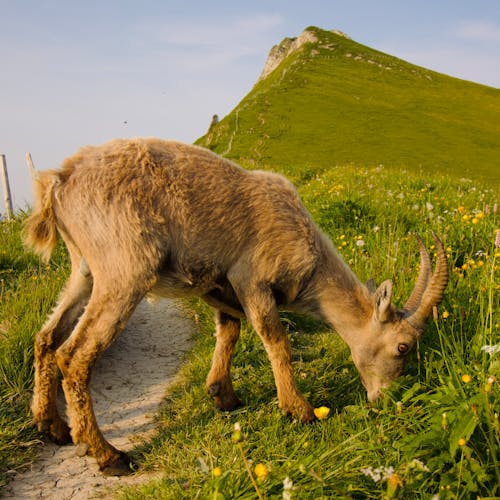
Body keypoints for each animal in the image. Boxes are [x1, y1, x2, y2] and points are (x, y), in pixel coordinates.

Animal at [22, 139, 450, 474]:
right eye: (402, 346)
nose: (389, 401)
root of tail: (58, 182)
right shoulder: (253, 281)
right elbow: (277, 342)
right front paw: (300, 410)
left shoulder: (220, 288)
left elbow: (229, 332)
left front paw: (223, 395)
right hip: (124, 270)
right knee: (74, 356)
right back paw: (109, 456)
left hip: (84, 269)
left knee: (46, 337)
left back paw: (51, 426)